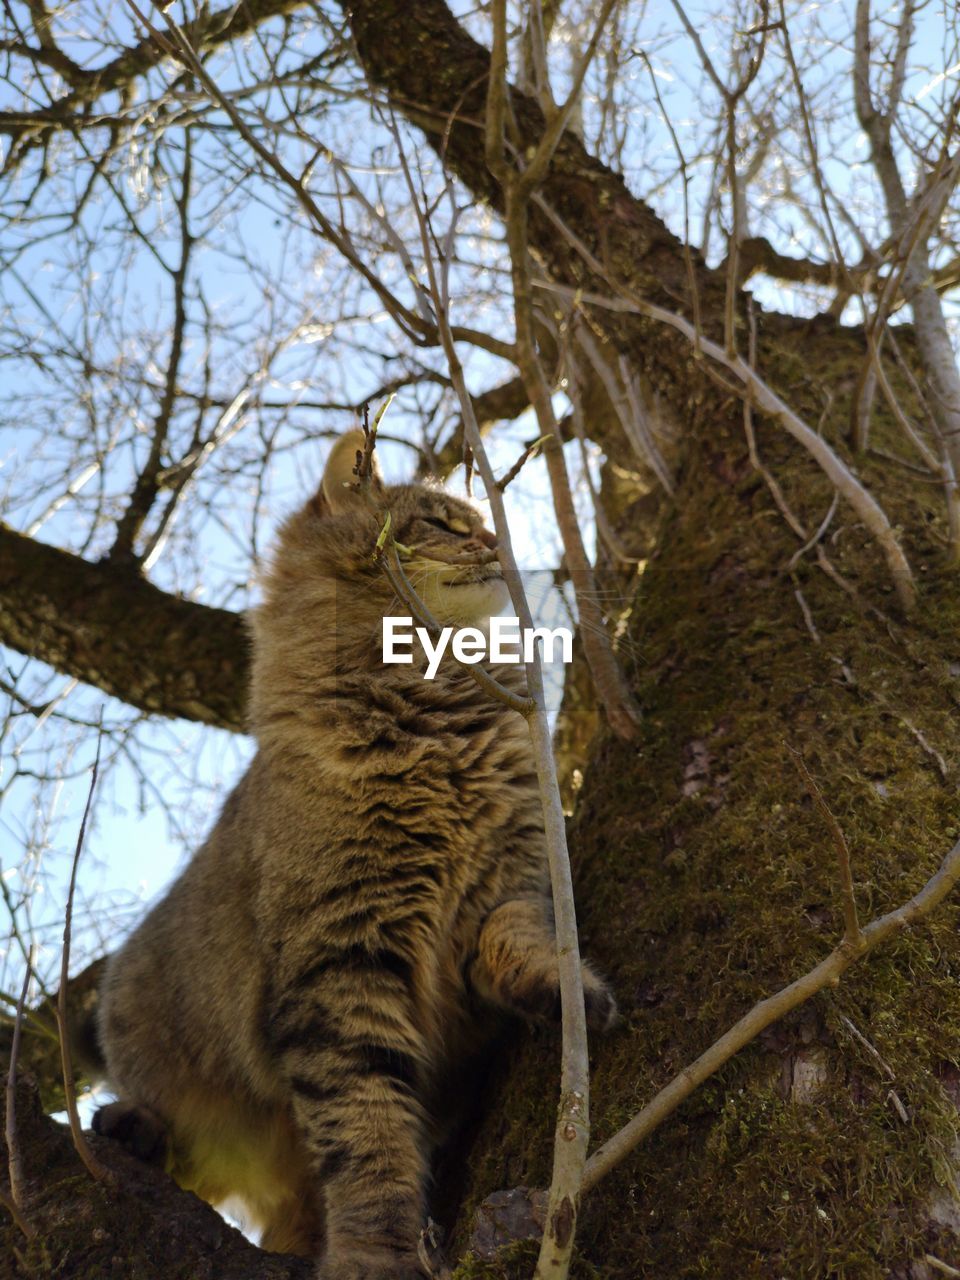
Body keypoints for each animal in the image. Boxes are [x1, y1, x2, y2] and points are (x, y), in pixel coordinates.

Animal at [92, 432, 616, 1280]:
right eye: (443, 522)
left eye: (480, 521)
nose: (499, 543)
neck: (437, 722)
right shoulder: (341, 968)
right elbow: (371, 1141)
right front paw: (379, 1253)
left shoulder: (514, 876)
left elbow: (515, 936)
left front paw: (567, 993)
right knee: (194, 1148)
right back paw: (132, 1128)